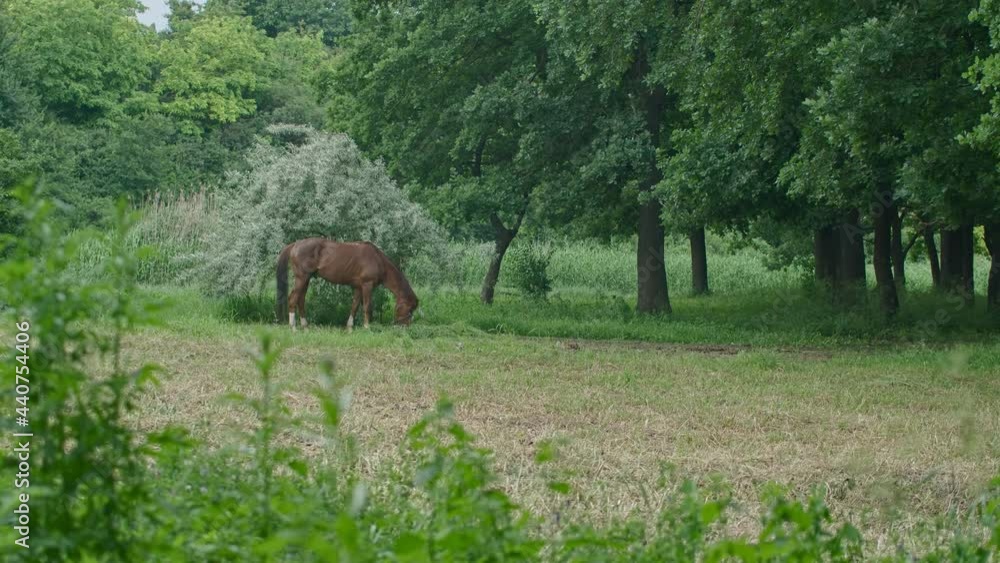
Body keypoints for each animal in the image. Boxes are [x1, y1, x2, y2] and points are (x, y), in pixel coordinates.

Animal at [276, 238, 419, 330]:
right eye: (410, 310)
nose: (404, 327)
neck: (377, 259)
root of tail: (295, 244)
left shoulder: (358, 287)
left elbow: (354, 306)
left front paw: (350, 327)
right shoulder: (367, 285)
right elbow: (367, 306)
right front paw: (367, 327)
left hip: (306, 279)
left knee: (301, 300)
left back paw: (305, 326)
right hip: (302, 278)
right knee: (293, 299)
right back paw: (293, 327)